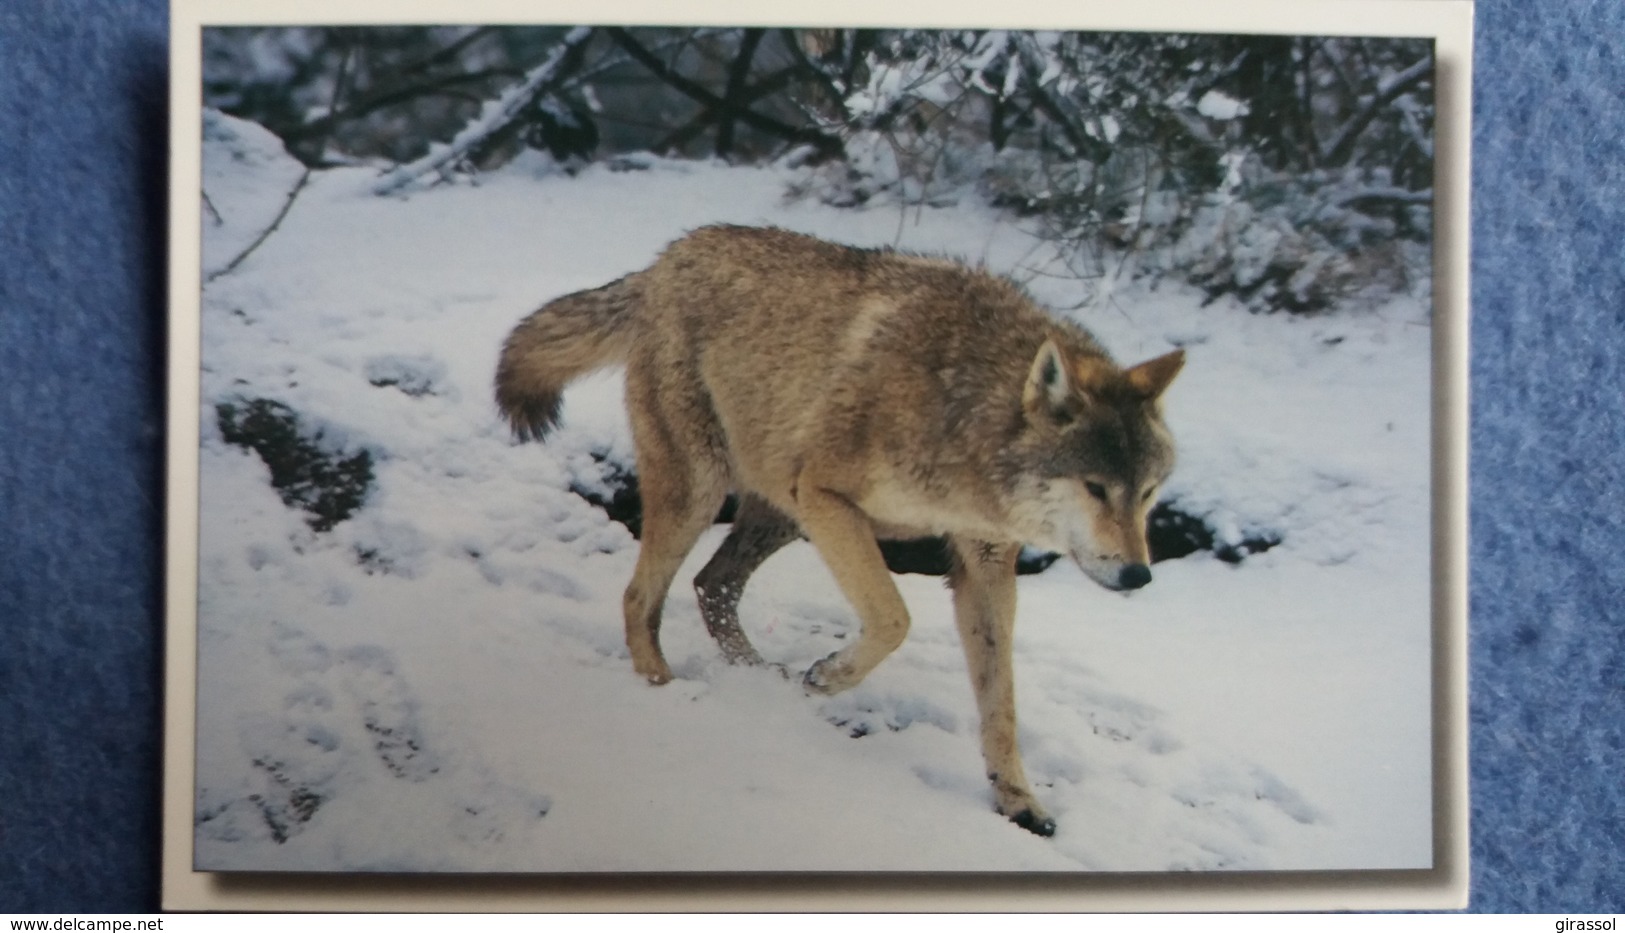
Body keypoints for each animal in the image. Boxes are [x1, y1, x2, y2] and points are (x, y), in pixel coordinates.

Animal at [490, 222, 1183, 838]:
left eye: (1148, 492)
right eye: (1096, 488)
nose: (1139, 575)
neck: (961, 414)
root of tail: (665, 260)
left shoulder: (985, 563)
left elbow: (1001, 707)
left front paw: (1018, 802)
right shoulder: (828, 499)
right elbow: (894, 618)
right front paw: (828, 676)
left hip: (777, 511)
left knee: (712, 586)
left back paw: (760, 678)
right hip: (709, 492)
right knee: (642, 598)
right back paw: (666, 691)